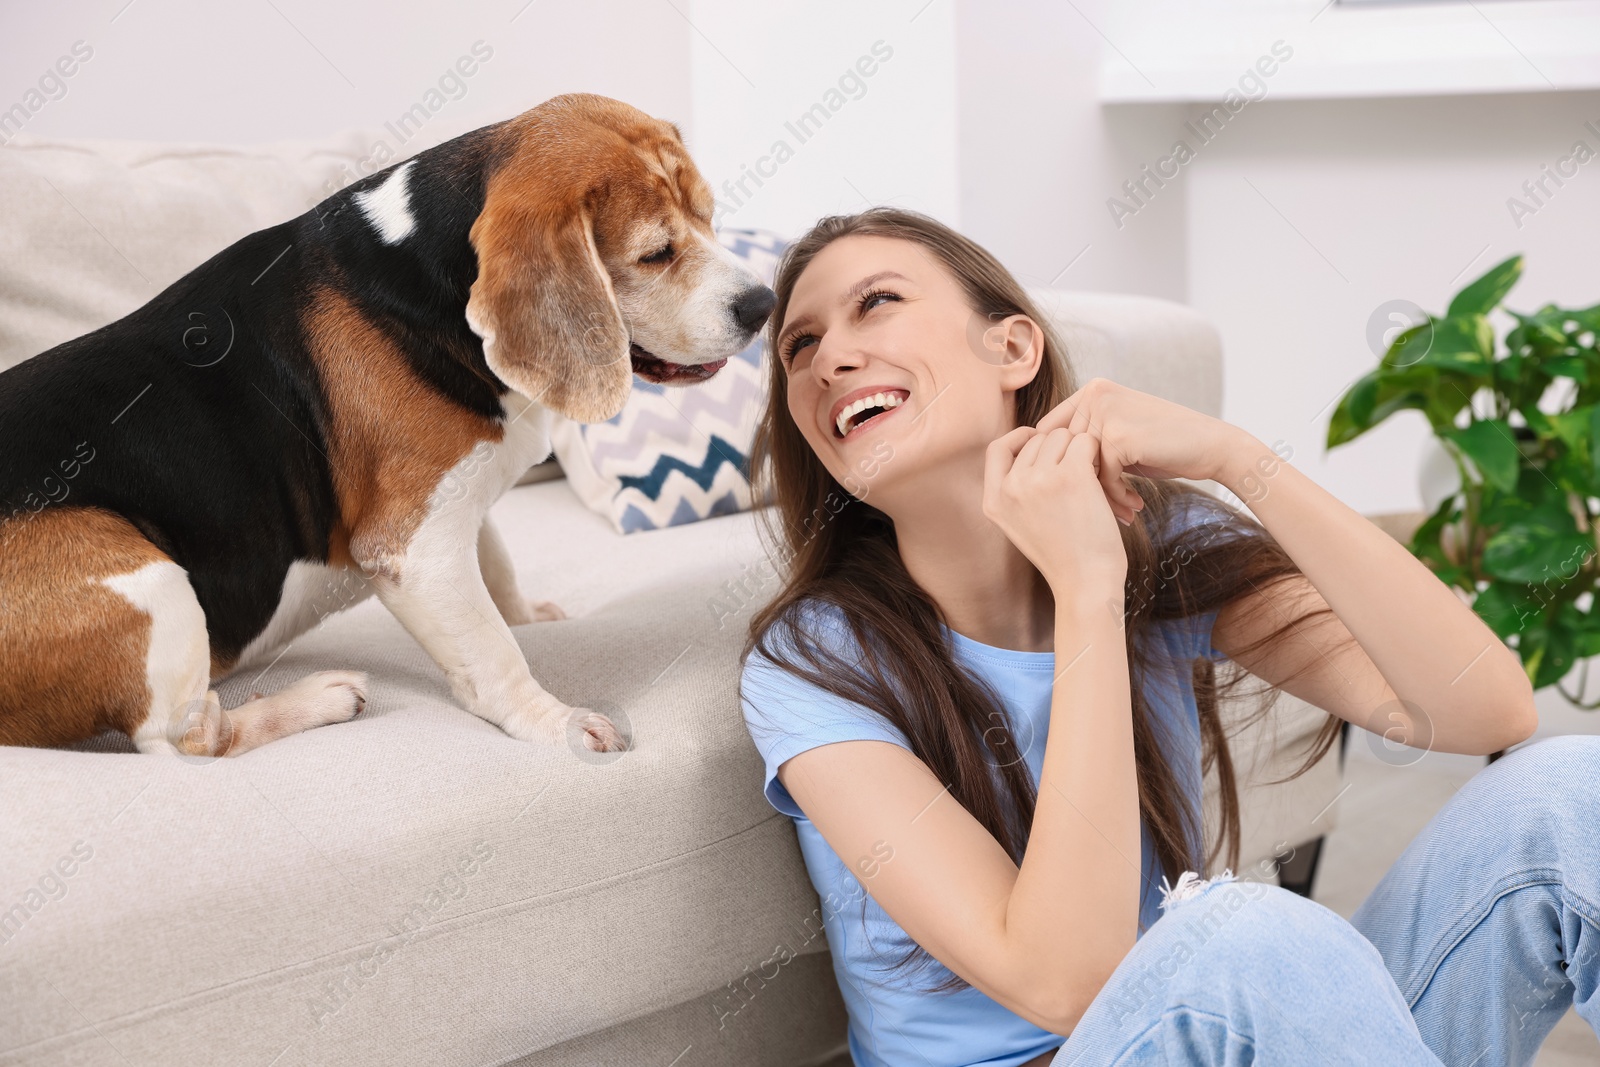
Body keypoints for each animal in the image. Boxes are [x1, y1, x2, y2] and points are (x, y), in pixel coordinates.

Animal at [0, 93, 774, 758]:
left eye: (709, 217)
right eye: (655, 253)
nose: (763, 303)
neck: (430, 276)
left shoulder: (454, 497)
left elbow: (497, 565)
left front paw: (528, 612)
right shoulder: (414, 548)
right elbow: (492, 651)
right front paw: (557, 722)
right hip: (149, 582)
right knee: (189, 738)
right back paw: (322, 697)